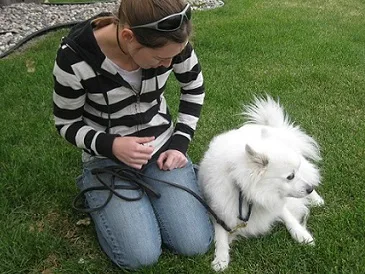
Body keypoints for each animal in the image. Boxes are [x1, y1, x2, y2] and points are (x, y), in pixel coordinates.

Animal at [198, 96, 322, 272]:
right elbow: (220, 237)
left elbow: (288, 216)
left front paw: (302, 235)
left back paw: (317, 200)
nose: (309, 189)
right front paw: (221, 258)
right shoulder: (219, 213)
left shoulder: (274, 201)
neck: (244, 191)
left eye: (293, 173)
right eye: (290, 176)